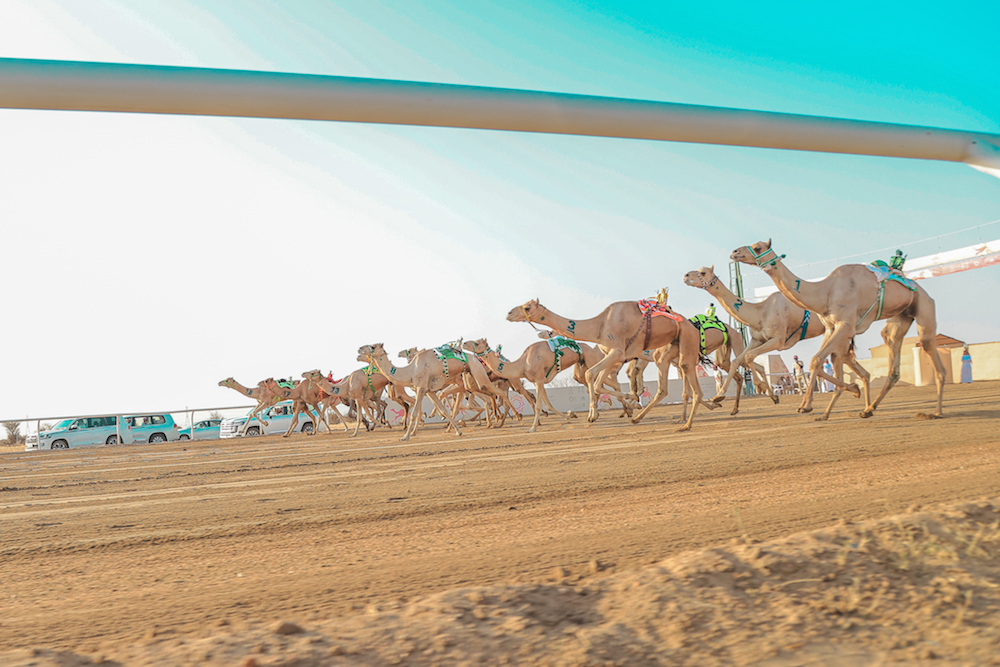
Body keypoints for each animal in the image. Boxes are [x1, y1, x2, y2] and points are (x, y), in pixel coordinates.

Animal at [507, 299, 706, 430]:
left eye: (527, 307)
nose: (509, 313)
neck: (598, 327)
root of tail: (691, 323)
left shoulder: (617, 352)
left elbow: (591, 376)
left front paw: (595, 413)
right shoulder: (616, 354)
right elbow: (597, 383)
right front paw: (620, 403)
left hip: (686, 337)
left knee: (689, 375)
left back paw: (686, 424)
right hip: (669, 347)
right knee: (666, 383)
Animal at [731, 240, 946, 420]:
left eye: (758, 247)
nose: (734, 252)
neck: (824, 291)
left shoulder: (846, 325)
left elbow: (817, 360)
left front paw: (806, 406)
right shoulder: (830, 327)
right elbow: (816, 360)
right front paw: (812, 407)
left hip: (924, 305)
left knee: (930, 349)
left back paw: (936, 412)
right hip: (901, 316)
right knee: (891, 354)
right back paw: (868, 409)